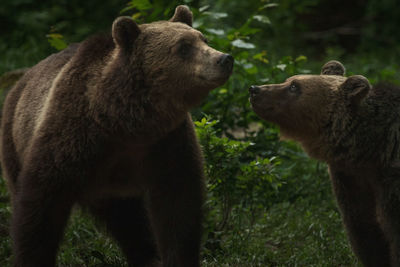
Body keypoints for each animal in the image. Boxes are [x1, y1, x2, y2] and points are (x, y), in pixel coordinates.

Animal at [0, 4, 234, 267]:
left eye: (203, 39)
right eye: (183, 47)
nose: (224, 59)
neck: (125, 123)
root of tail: (21, 81)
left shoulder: (166, 142)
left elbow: (178, 206)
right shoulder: (70, 138)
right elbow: (40, 206)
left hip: (112, 189)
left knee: (128, 221)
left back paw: (146, 256)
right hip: (13, 144)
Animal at [252, 60, 400, 267]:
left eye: (294, 86)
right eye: (289, 80)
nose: (255, 89)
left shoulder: (390, 181)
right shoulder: (350, 179)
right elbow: (364, 229)